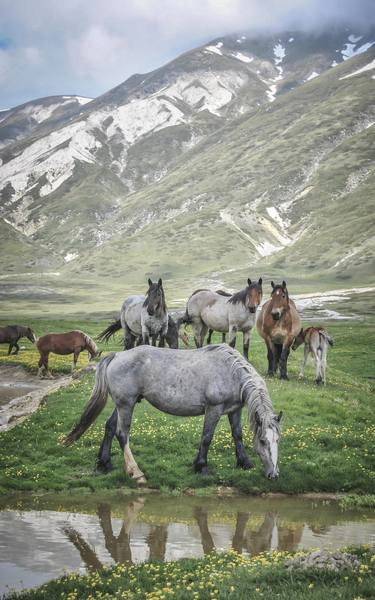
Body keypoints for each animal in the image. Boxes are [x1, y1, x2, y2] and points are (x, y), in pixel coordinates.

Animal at [64, 344, 282, 480]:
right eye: (263, 441)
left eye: (277, 440)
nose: (274, 475)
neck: (230, 371)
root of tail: (116, 355)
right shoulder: (214, 409)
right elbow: (207, 437)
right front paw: (201, 466)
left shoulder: (234, 409)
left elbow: (237, 435)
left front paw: (244, 462)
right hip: (126, 405)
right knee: (122, 433)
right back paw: (135, 472)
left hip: (123, 404)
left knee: (109, 427)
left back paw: (104, 464)